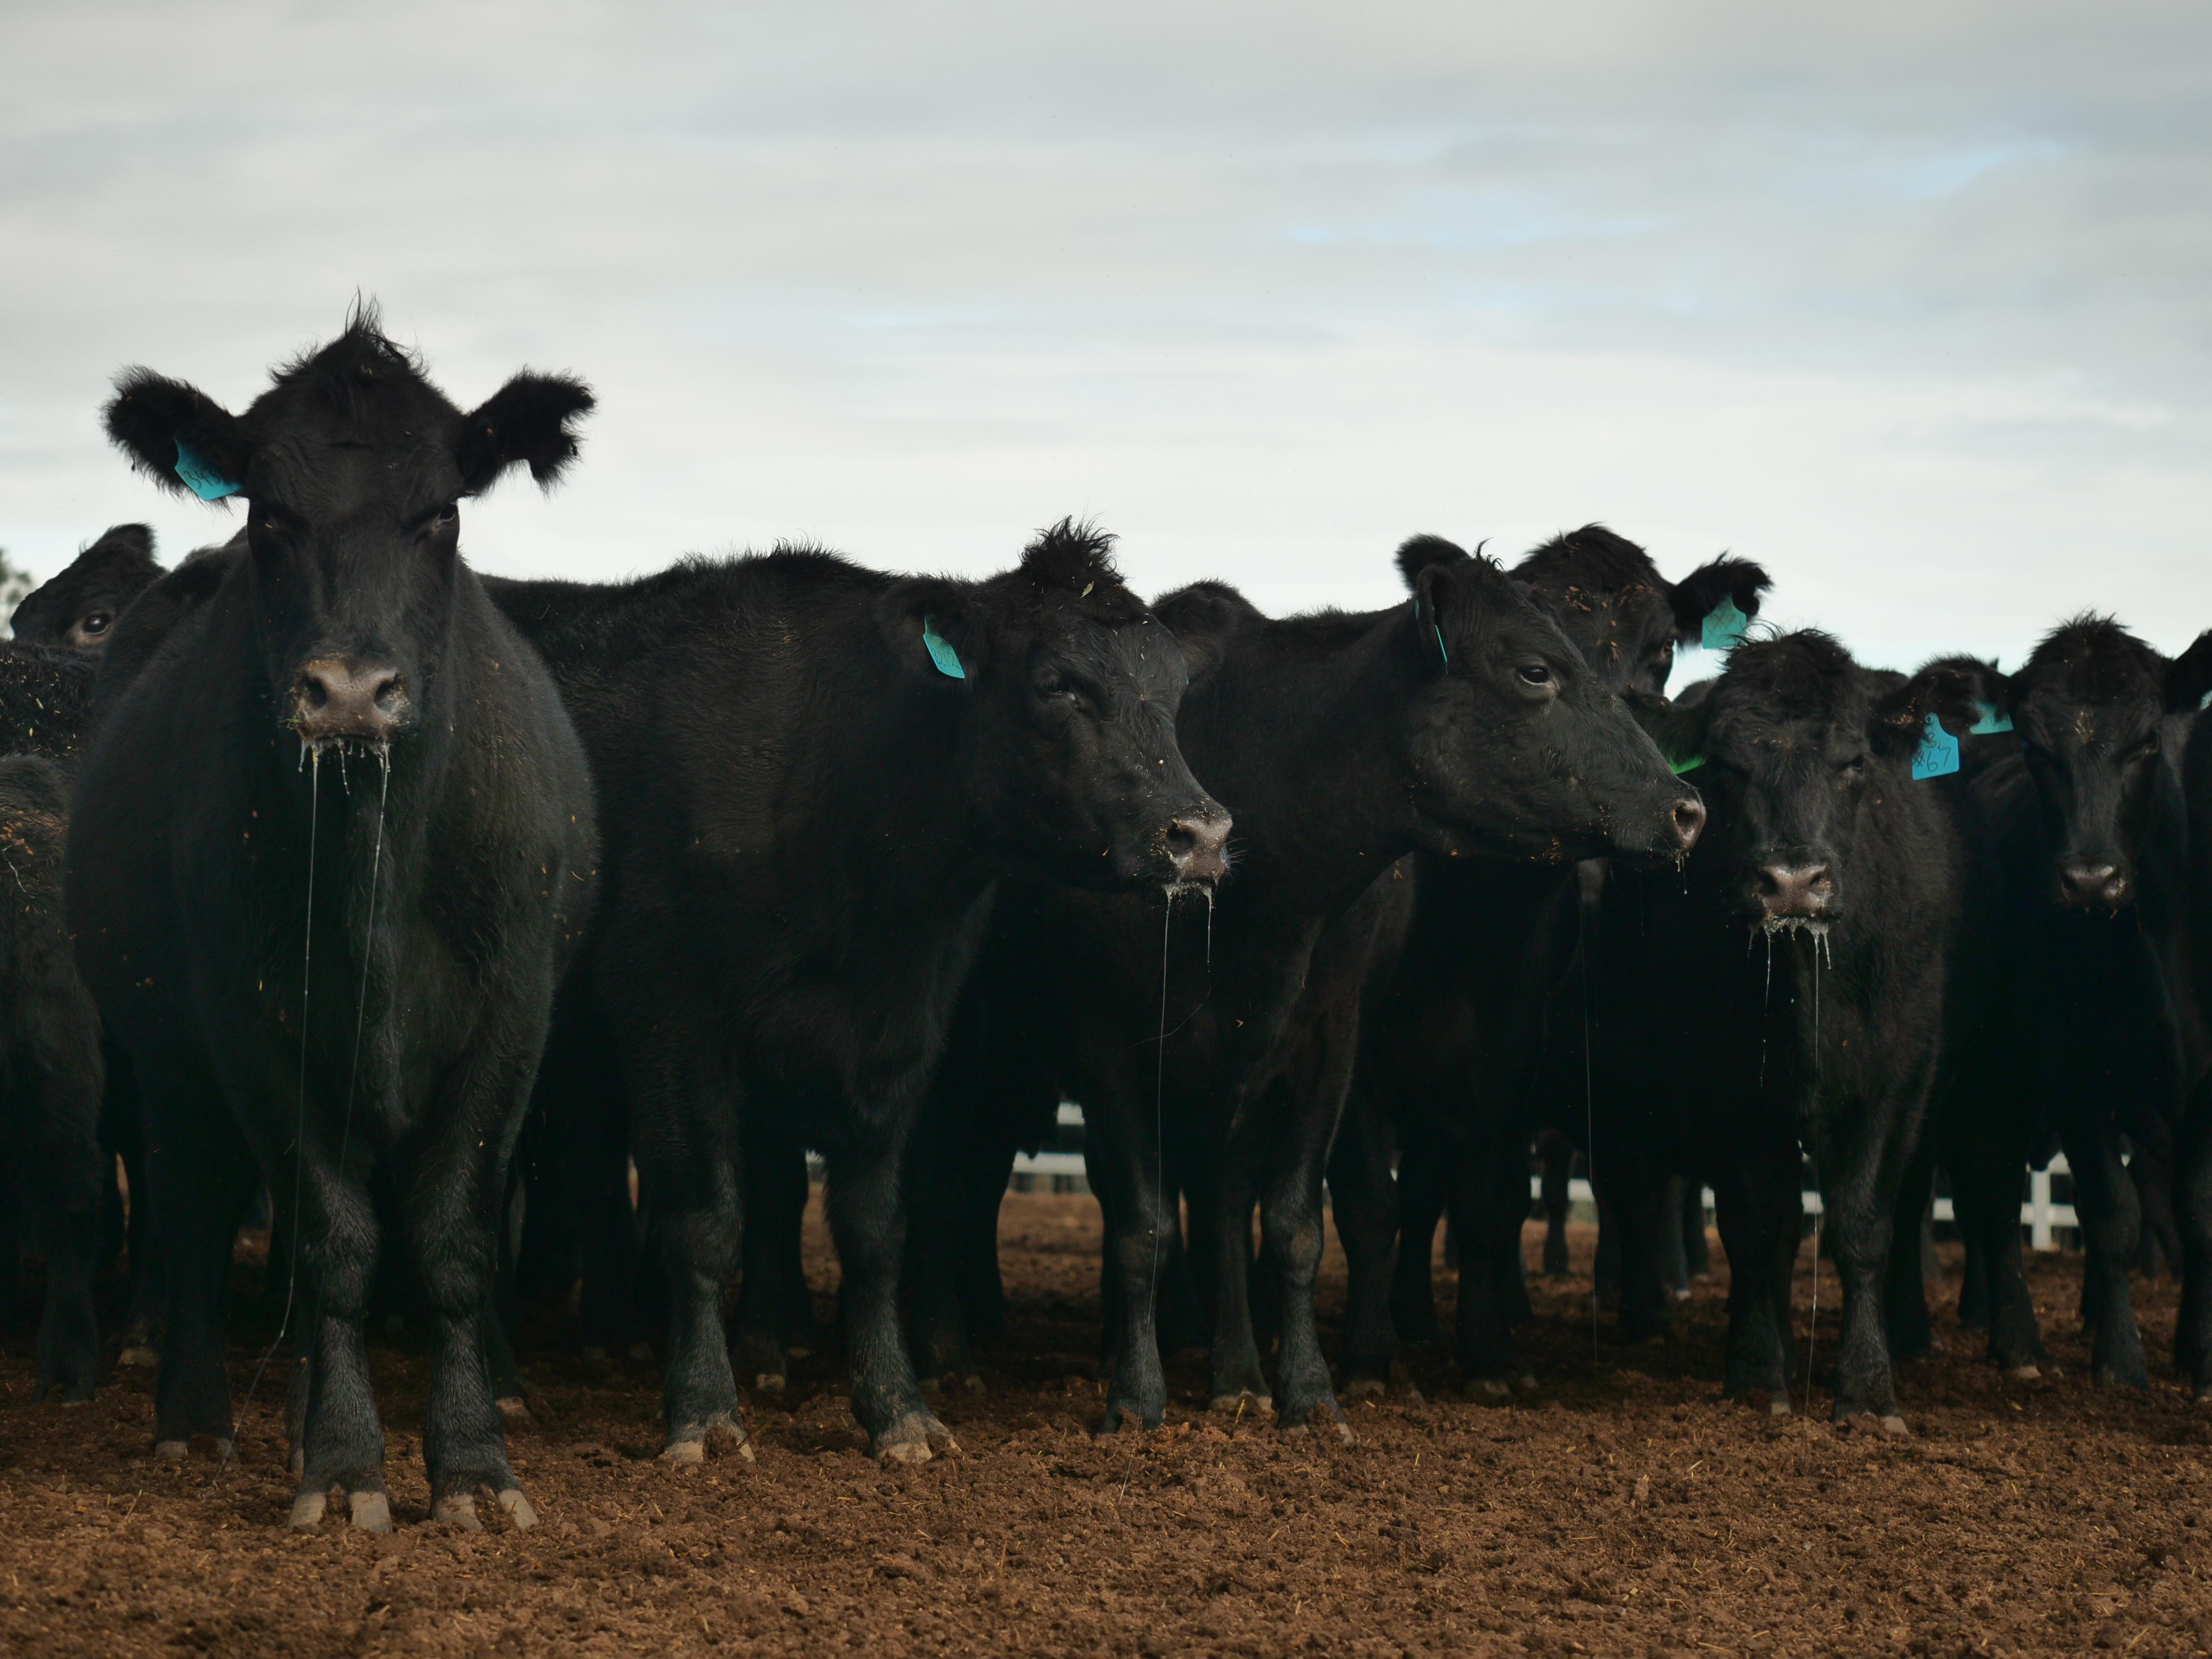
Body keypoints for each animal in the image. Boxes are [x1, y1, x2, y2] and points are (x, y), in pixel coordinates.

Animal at [70, 311, 599, 1532]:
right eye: (269, 510)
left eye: (441, 510)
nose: (352, 692)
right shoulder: (255, 1028)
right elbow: (330, 1236)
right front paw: (349, 1460)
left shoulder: (512, 1024)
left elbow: (452, 1241)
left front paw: (473, 1466)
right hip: (169, 1064)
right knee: (195, 1211)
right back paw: (199, 1417)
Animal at [482, 519, 1230, 1464]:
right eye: (1058, 684)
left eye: (1171, 690)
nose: (1201, 834)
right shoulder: (670, 1022)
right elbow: (704, 1220)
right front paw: (703, 1410)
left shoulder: (902, 1036)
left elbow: (877, 1230)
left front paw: (896, 1409)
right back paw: (507, 1386)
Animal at [914, 532, 1707, 1438]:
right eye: (1536, 669)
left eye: (1664, 653)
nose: (1686, 808)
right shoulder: (1109, 1045)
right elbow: (1142, 1226)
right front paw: (1138, 1395)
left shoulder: (1327, 1043)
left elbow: (1293, 1222)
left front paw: (1304, 1388)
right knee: (951, 1177)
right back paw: (956, 1351)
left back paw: (1231, 1370)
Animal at [1332, 525, 1768, 1395]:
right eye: (1536, 660)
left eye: (1662, 649)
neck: (1467, 916)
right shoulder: (1356, 1048)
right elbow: (1369, 1204)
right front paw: (1365, 1356)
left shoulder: (1505, 1052)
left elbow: (1488, 1202)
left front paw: (1489, 1352)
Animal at [1586, 633, 1976, 1427]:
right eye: (1728, 768)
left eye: (1855, 761)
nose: (1793, 882)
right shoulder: (1724, 1089)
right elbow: (1759, 1226)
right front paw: (1757, 1369)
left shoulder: (1897, 1079)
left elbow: (1861, 1226)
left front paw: (1867, 1385)